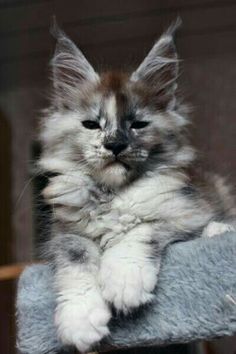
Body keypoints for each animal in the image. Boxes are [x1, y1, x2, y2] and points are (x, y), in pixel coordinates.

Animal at [38, 23, 234, 352]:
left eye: (138, 124)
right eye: (92, 125)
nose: (115, 144)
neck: (113, 194)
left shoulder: (185, 211)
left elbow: (139, 229)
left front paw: (124, 282)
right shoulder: (65, 233)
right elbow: (76, 263)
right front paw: (80, 320)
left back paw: (219, 230)